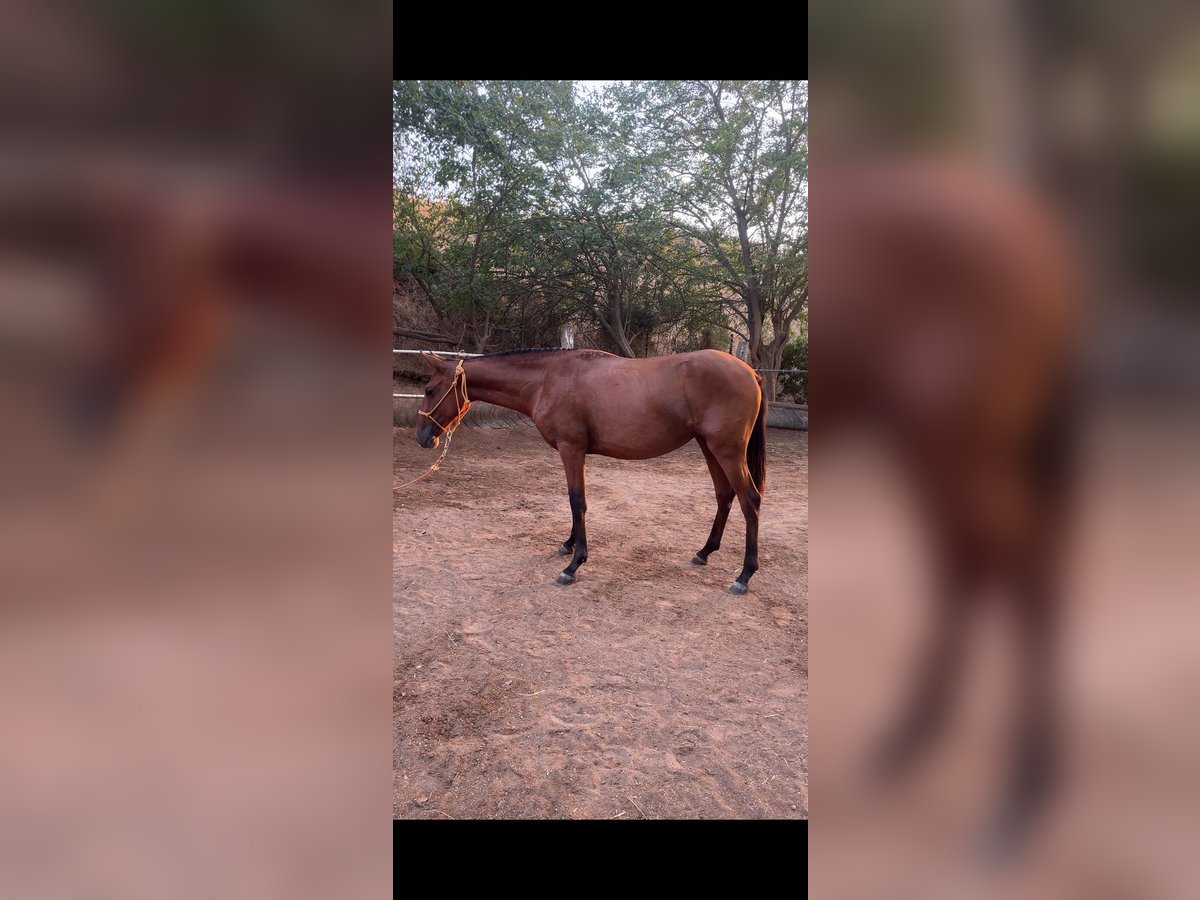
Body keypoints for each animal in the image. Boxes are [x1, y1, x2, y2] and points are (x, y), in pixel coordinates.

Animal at [412, 348, 768, 595]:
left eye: (430, 390)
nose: (422, 437)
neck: (547, 379)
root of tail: (750, 372)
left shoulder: (571, 449)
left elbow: (577, 501)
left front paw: (573, 565)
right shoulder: (574, 452)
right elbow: (574, 502)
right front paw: (569, 545)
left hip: (727, 451)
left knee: (749, 500)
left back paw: (744, 576)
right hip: (710, 448)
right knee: (724, 496)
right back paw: (705, 552)